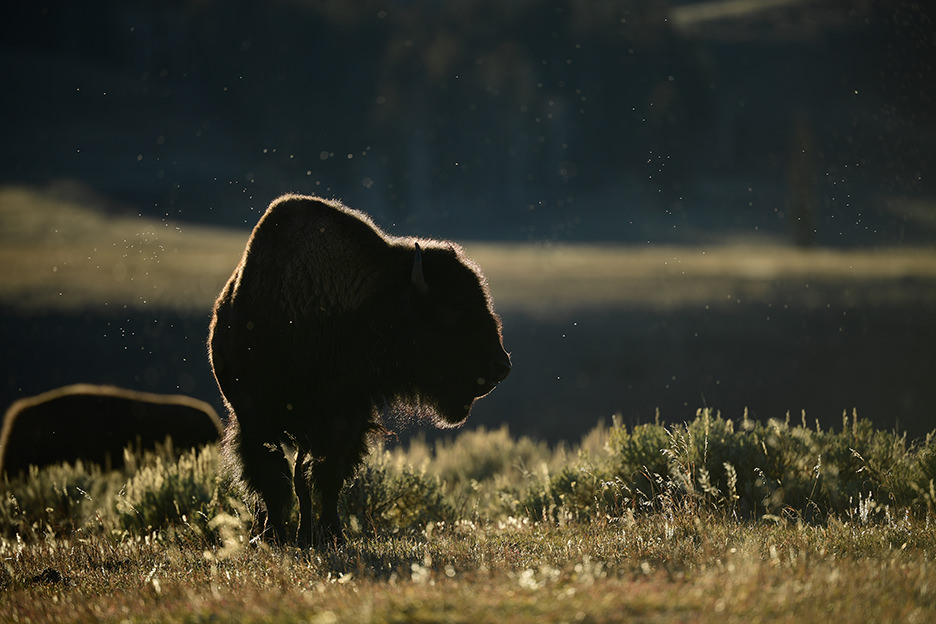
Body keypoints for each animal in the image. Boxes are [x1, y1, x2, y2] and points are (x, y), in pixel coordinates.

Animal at [209, 193, 512, 544]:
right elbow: (273, 479)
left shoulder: (347, 419)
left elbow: (328, 476)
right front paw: (274, 536)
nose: (501, 367)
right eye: (449, 312)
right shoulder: (255, 418)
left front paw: (332, 534)